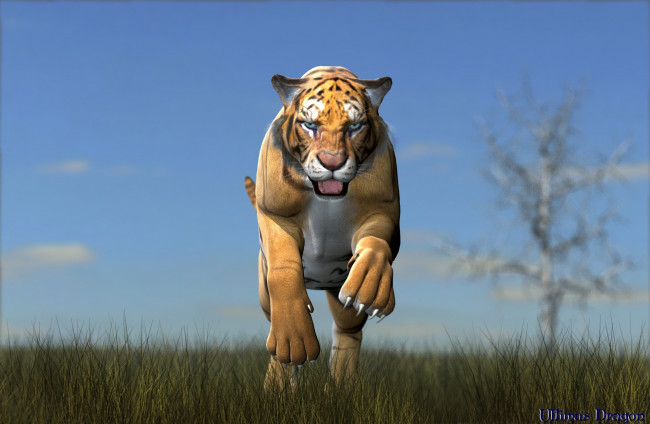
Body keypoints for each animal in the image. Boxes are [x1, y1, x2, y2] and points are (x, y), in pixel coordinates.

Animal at [244, 66, 400, 389]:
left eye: (354, 126)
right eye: (309, 125)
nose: (332, 162)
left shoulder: (384, 210)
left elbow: (376, 244)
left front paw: (371, 286)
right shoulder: (275, 215)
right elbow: (283, 267)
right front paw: (294, 339)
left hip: (343, 303)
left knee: (347, 332)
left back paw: (342, 386)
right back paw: (277, 385)